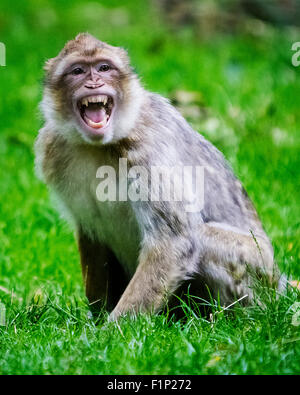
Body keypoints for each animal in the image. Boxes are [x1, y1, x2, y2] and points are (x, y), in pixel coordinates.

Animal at [34, 32, 288, 320]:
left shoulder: (147, 147)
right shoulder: (53, 148)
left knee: (202, 238)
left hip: (259, 278)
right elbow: (91, 231)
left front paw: (115, 328)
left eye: (104, 68)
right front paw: (96, 319)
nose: (94, 82)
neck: (96, 146)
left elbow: (174, 241)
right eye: (78, 71)